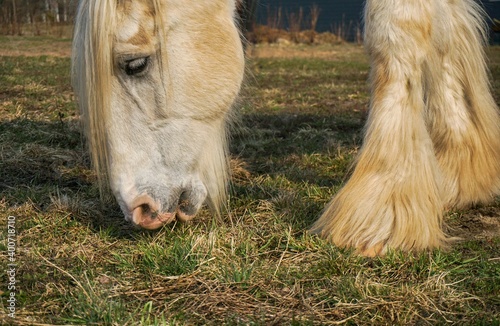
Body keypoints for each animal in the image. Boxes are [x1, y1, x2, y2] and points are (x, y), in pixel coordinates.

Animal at [71, 0, 500, 256]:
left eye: (134, 64)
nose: (137, 208)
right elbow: (445, 38)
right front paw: (463, 171)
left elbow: (396, 34)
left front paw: (381, 208)